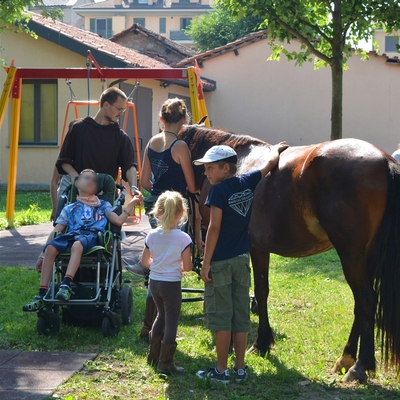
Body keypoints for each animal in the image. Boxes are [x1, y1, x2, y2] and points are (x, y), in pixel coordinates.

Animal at [180, 124, 400, 382]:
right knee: (362, 305)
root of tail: (384, 160)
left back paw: (360, 366)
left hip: (351, 254)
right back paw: (346, 359)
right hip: (368, 257)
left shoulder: (254, 248)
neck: (239, 164)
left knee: (366, 299)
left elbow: (259, 292)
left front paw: (259, 342)